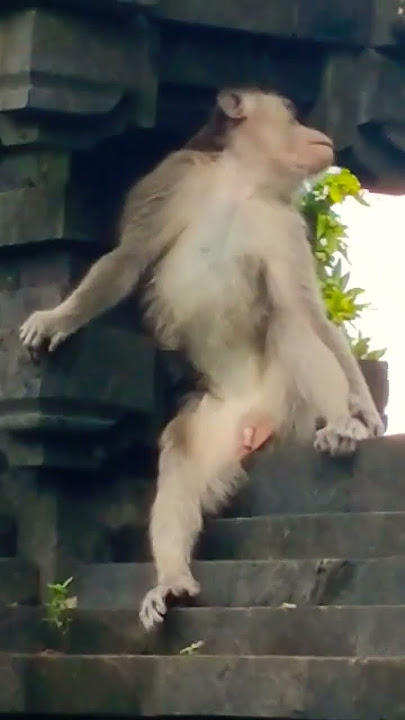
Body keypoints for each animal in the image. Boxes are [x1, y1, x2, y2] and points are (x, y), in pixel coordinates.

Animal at [19, 88, 384, 631]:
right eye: (292, 115)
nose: (315, 133)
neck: (242, 182)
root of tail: (255, 416)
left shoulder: (280, 223)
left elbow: (308, 314)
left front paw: (361, 407)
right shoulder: (174, 178)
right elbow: (127, 258)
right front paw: (58, 318)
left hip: (289, 402)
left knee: (291, 328)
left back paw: (339, 423)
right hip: (215, 425)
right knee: (180, 455)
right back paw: (171, 580)